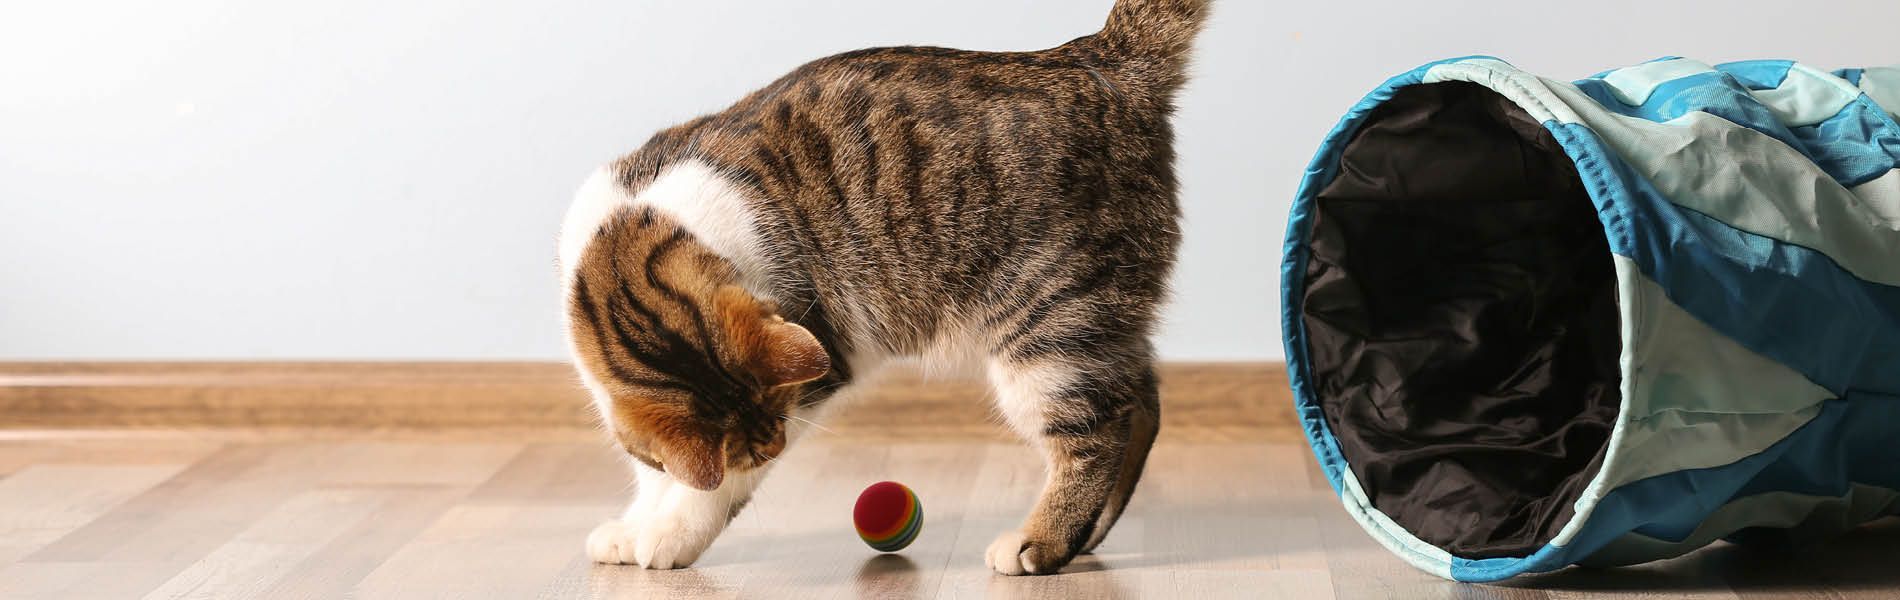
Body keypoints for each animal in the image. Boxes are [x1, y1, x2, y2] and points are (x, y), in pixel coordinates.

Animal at [554, 0, 1200, 577]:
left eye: (768, 445)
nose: (774, 448)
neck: (636, 231)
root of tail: (1097, 56)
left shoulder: (817, 363)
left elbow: (706, 485)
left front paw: (671, 532)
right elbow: (654, 470)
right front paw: (635, 524)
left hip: (1051, 325)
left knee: (1097, 436)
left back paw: (1040, 543)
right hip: (1097, 318)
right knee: (1142, 403)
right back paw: (1088, 536)